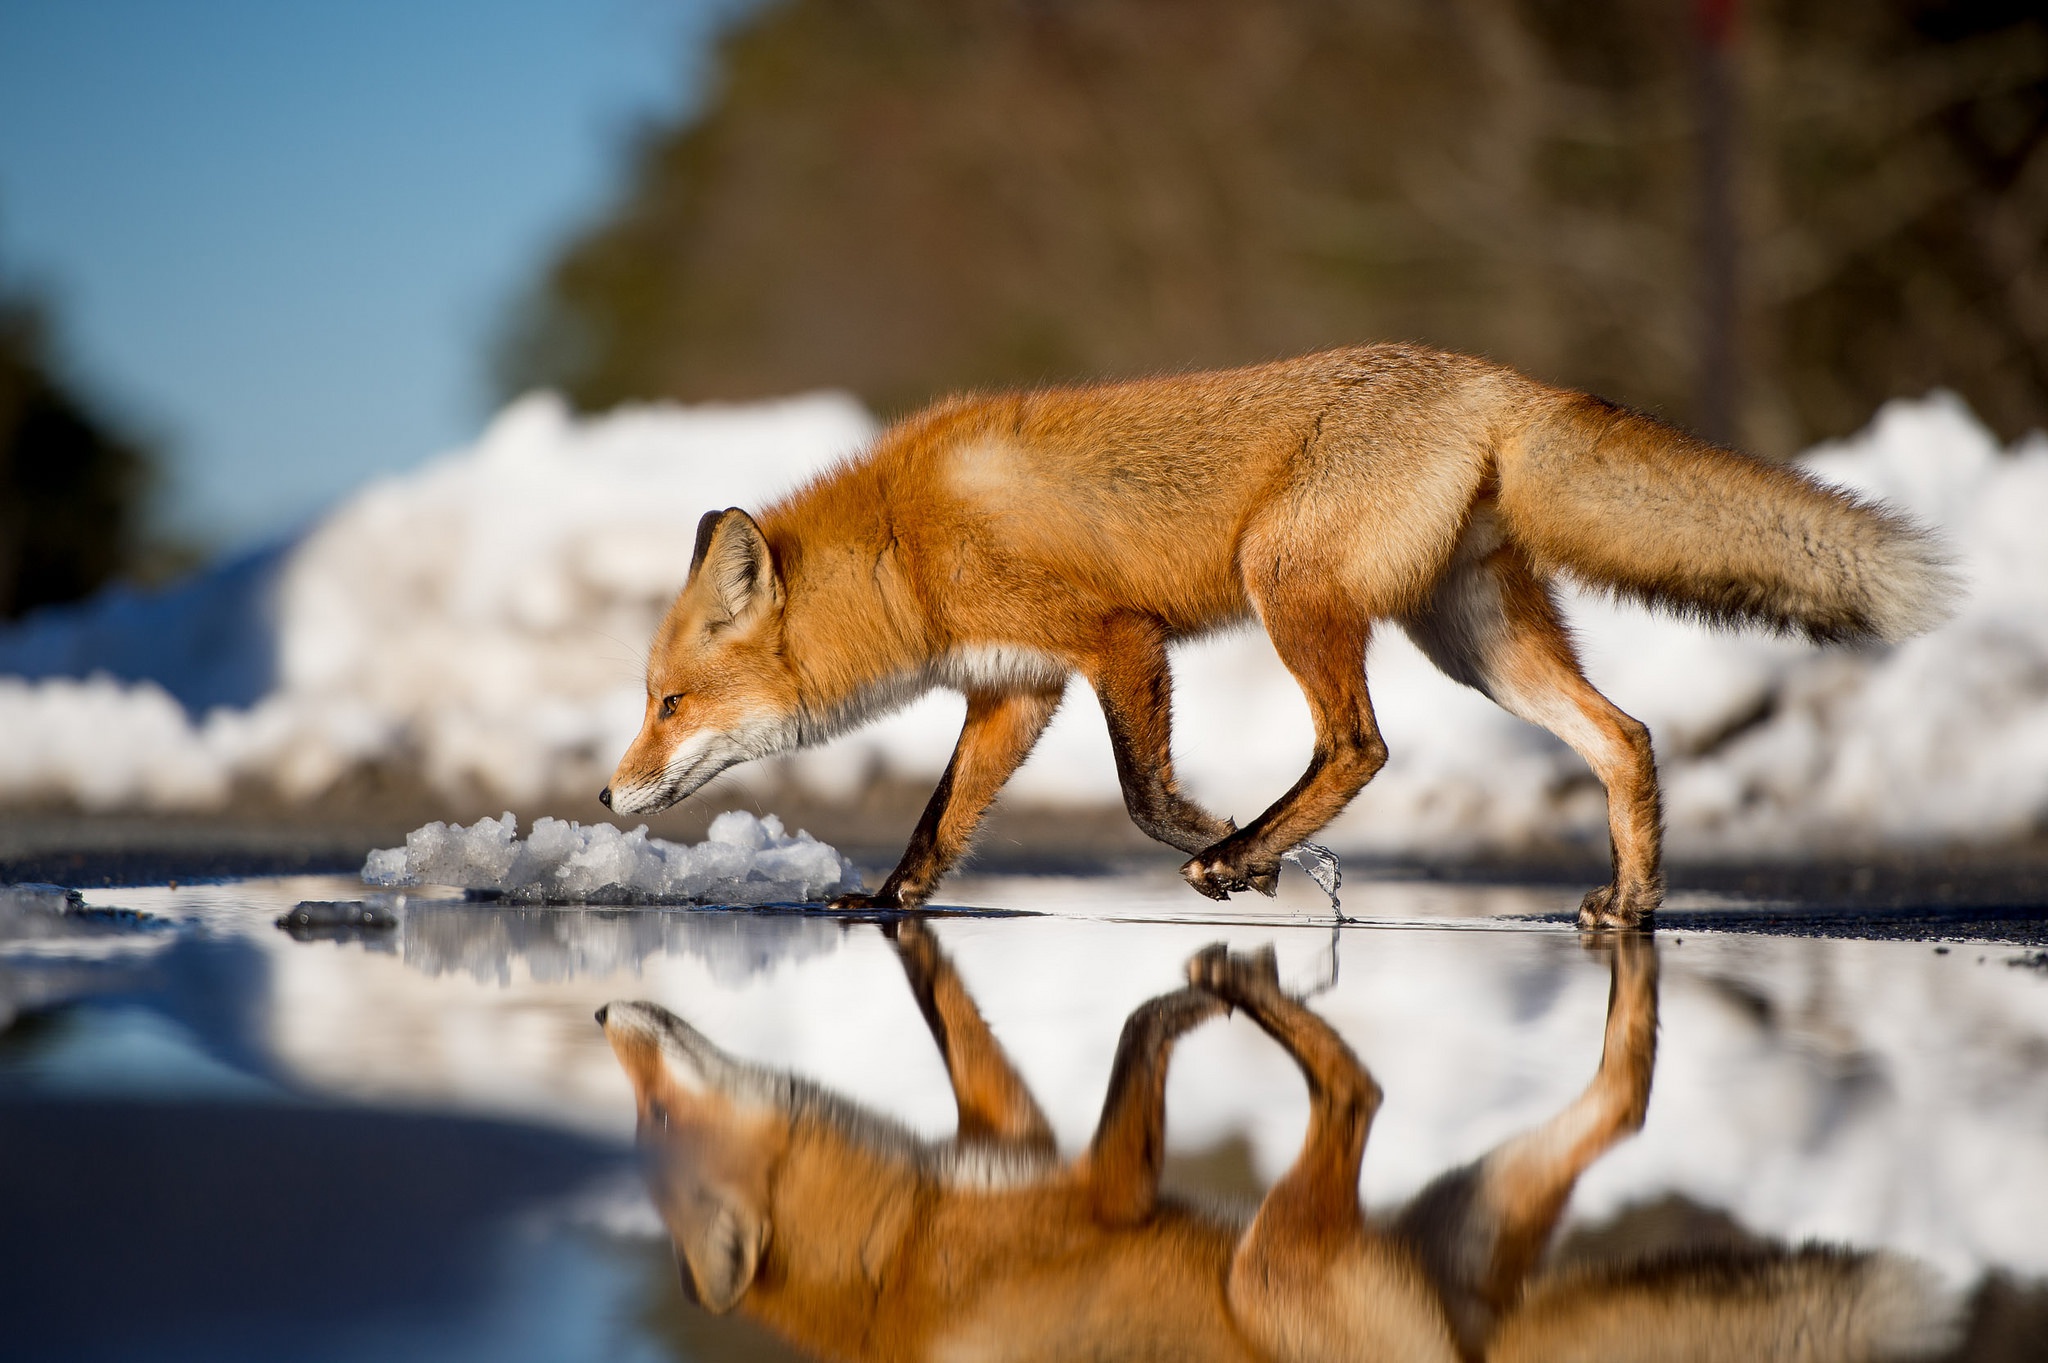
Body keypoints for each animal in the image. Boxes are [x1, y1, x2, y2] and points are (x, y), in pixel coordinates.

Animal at [598, 349, 1949, 925]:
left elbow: (1144, 796)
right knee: (1623, 735)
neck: (902, 543)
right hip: (1472, 641)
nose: (607, 796)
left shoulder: (1116, 638)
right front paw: (884, 903)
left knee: (1359, 746)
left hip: (1285, 585)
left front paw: (1226, 840)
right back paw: (1630, 904)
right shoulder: (1014, 690)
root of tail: (1491, 378)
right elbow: (938, 823)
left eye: (666, 703)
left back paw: (1246, 853)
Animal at [598, 916, 1957, 1350]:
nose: (606, 1008)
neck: (902, 1253)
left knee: (1359, 1099)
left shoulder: (1094, 1182)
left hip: (1273, 1265)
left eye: (655, 1109)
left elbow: (1137, 1067)